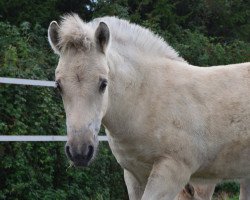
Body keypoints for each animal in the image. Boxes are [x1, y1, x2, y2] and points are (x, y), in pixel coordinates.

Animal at [47, 14, 250, 200]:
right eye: (58, 86)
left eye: (103, 83)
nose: (79, 152)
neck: (146, 99)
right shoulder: (134, 174)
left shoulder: (173, 171)